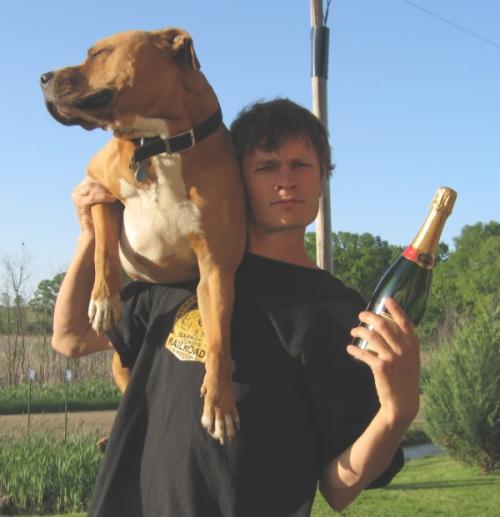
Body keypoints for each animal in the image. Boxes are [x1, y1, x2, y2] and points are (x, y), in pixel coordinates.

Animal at [40, 27, 246, 443]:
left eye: (97, 53)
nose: (42, 77)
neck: (160, 145)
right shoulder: (100, 189)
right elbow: (103, 247)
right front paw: (105, 301)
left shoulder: (215, 267)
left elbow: (218, 337)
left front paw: (220, 402)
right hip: (118, 365)